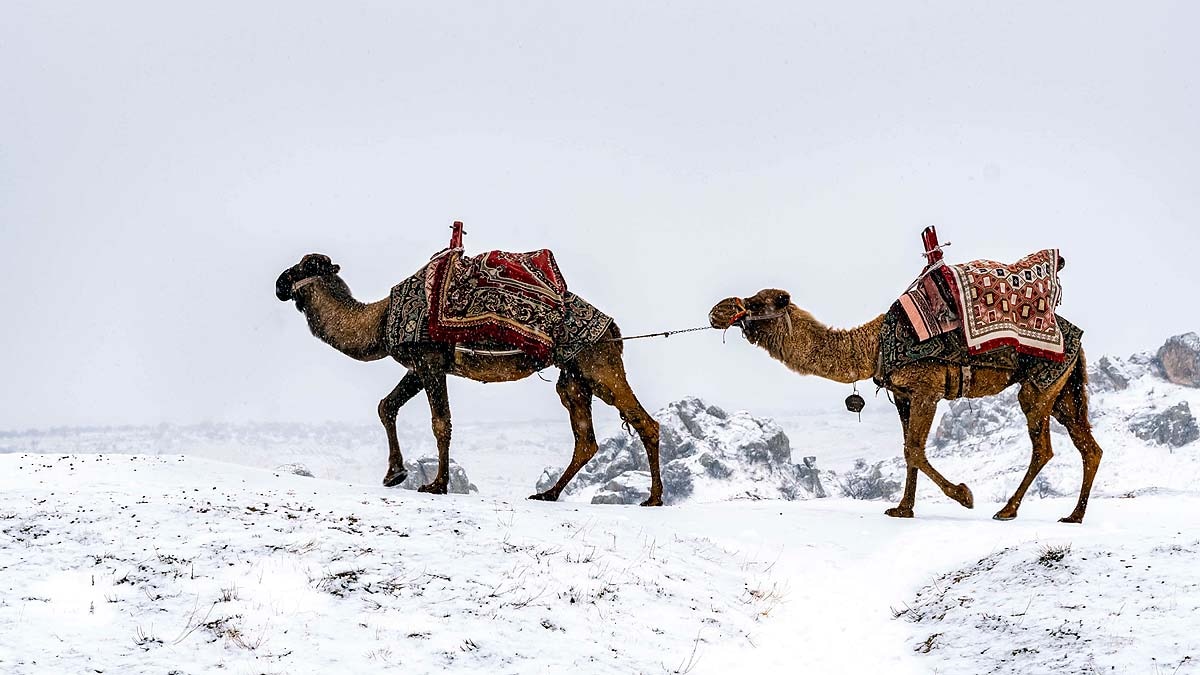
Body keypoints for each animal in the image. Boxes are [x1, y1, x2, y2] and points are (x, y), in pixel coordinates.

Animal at [275, 253, 663, 506]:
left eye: (307, 266)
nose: (279, 282)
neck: (380, 320)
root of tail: (612, 328)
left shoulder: (430, 360)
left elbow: (440, 423)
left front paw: (436, 484)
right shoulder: (418, 366)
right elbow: (387, 406)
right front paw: (394, 474)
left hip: (598, 362)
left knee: (643, 421)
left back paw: (653, 499)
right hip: (573, 374)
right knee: (585, 438)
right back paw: (548, 493)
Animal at [708, 289, 1103, 523]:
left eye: (755, 304)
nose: (717, 311)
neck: (873, 346)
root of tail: (1079, 340)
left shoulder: (927, 388)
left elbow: (914, 449)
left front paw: (964, 496)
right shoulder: (903, 395)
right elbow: (907, 450)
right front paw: (902, 509)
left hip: (1040, 385)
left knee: (1044, 447)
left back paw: (1007, 510)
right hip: (1065, 390)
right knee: (1089, 446)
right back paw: (1074, 515)